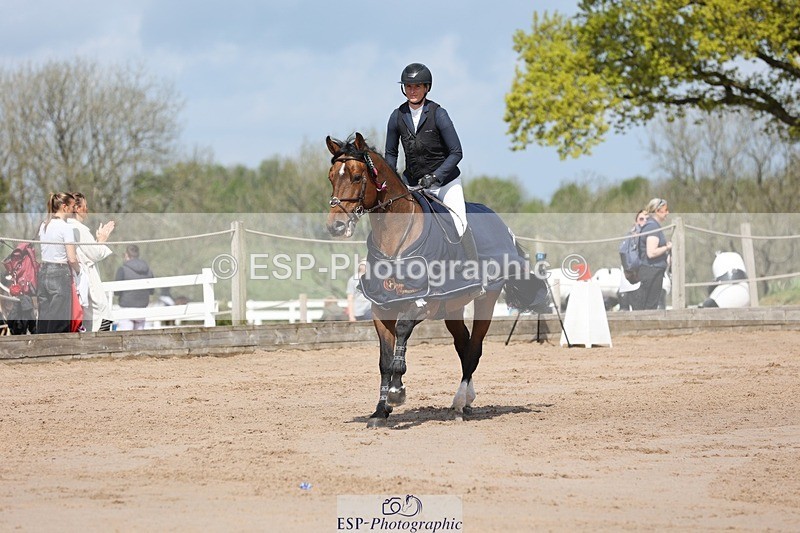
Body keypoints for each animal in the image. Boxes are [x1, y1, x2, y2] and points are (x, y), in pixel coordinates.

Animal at [325, 132, 544, 428]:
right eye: (331, 177)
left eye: (358, 177)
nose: (335, 226)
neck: (395, 240)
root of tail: (503, 227)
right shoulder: (380, 306)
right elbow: (384, 360)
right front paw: (380, 411)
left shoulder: (422, 303)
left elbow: (402, 334)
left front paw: (397, 392)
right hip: (453, 306)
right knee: (464, 345)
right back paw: (467, 401)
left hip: (486, 298)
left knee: (475, 348)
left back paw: (459, 403)